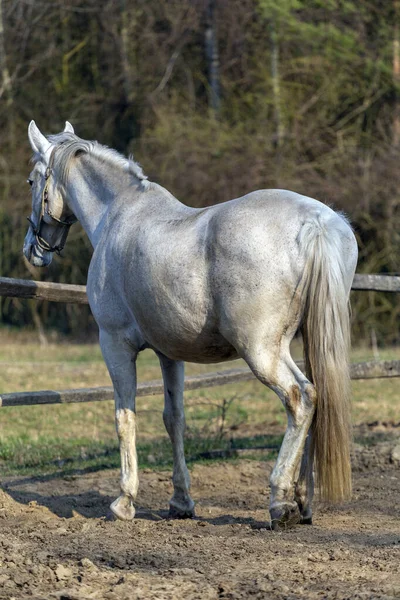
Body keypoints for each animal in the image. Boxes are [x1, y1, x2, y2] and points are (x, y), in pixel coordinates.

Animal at [23, 122, 358, 528]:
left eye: (32, 180)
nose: (32, 249)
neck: (117, 215)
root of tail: (315, 222)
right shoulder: (170, 353)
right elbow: (174, 419)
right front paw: (181, 501)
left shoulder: (115, 346)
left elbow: (125, 418)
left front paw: (124, 501)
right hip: (304, 344)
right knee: (317, 400)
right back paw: (304, 501)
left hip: (262, 351)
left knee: (301, 398)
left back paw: (281, 500)